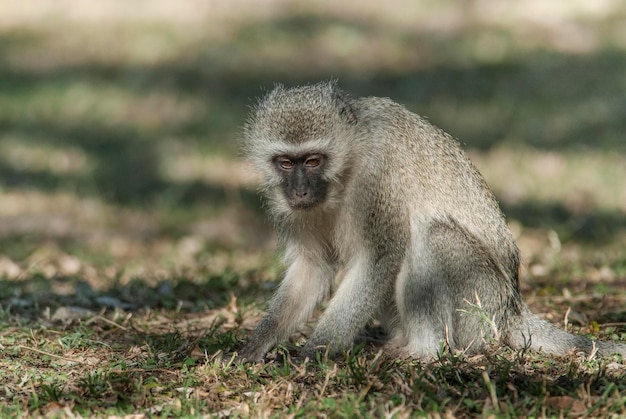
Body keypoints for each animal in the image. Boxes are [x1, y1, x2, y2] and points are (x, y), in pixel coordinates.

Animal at [236, 81, 620, 360]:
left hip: (480, 308)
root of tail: (512, 309)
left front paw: (316, 353)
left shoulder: (375, 176)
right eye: (286, 163)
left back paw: (424, 351)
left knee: (432, 236)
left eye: (313, 161)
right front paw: (255, 347)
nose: (300, 191)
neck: (347, 163)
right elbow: (314, 266)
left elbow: (379, 258)